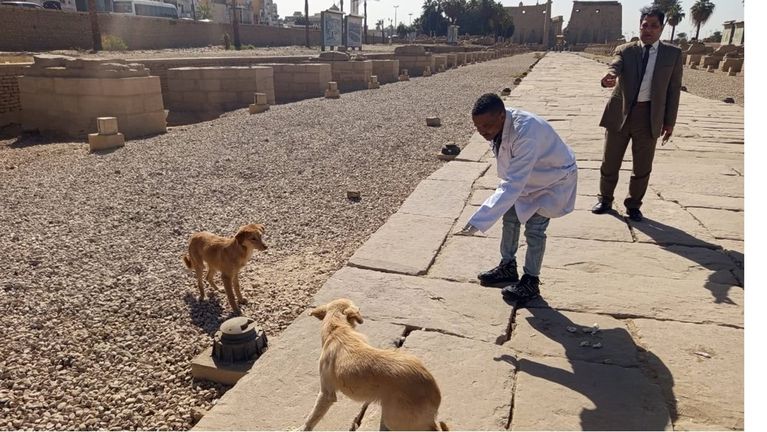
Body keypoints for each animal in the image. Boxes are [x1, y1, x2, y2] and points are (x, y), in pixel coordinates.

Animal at [299, 298, 448, 431]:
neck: (336, 328)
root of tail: (434, 390)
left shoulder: (326, 394)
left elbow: (311, 418)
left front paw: (302, 428)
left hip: (395, 419)